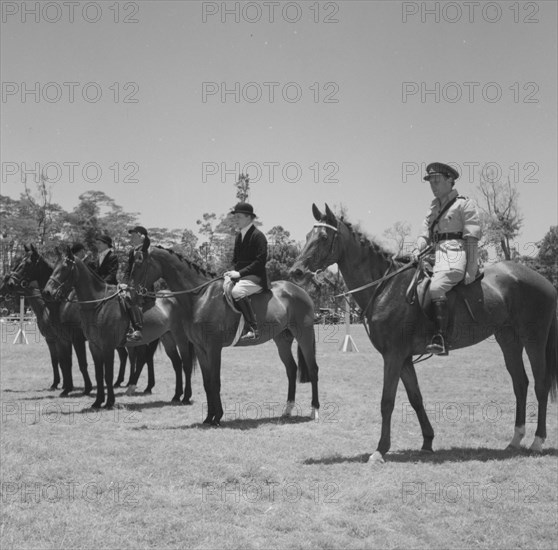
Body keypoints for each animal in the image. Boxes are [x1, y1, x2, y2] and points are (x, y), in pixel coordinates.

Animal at [41, 248, 197, 412]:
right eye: (54, 267)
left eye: (64, 268)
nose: (47, 292)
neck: (97, 304)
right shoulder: (94, 346)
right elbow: (99, 374)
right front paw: (97, 402)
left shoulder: (107, 346)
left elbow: (108, 375)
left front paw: (109, 402)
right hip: (168, 338)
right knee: (177, 364)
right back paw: (176, 396)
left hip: (180, 337)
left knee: (185, 363)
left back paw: (186, 397)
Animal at [125, 243, 322, 426]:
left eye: (139, 263)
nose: (128, 296)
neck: (200, 296)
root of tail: (298, 290)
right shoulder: (200, 348)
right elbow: (207, 382)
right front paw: (208, 418)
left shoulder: (214, 347)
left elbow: (215, 381)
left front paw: (217, 417)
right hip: (281, 339)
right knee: (291, 369)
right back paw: (287, 410)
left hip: (304, 334)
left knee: (313, 369)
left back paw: (314, 411)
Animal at [290, 205, 556, 464]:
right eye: (308, 235)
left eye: (323, 237)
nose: (296, 271)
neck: (385, 287)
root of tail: (544, 281)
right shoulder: (405, 359)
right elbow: (415, 398)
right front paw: (427, 441)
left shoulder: (394, 356)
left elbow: (387, 401)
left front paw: (380, 450)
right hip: (508, 340)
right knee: (520, 383)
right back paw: (515, 439)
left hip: (534, 339)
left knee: (540, 385)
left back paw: (537, 441)